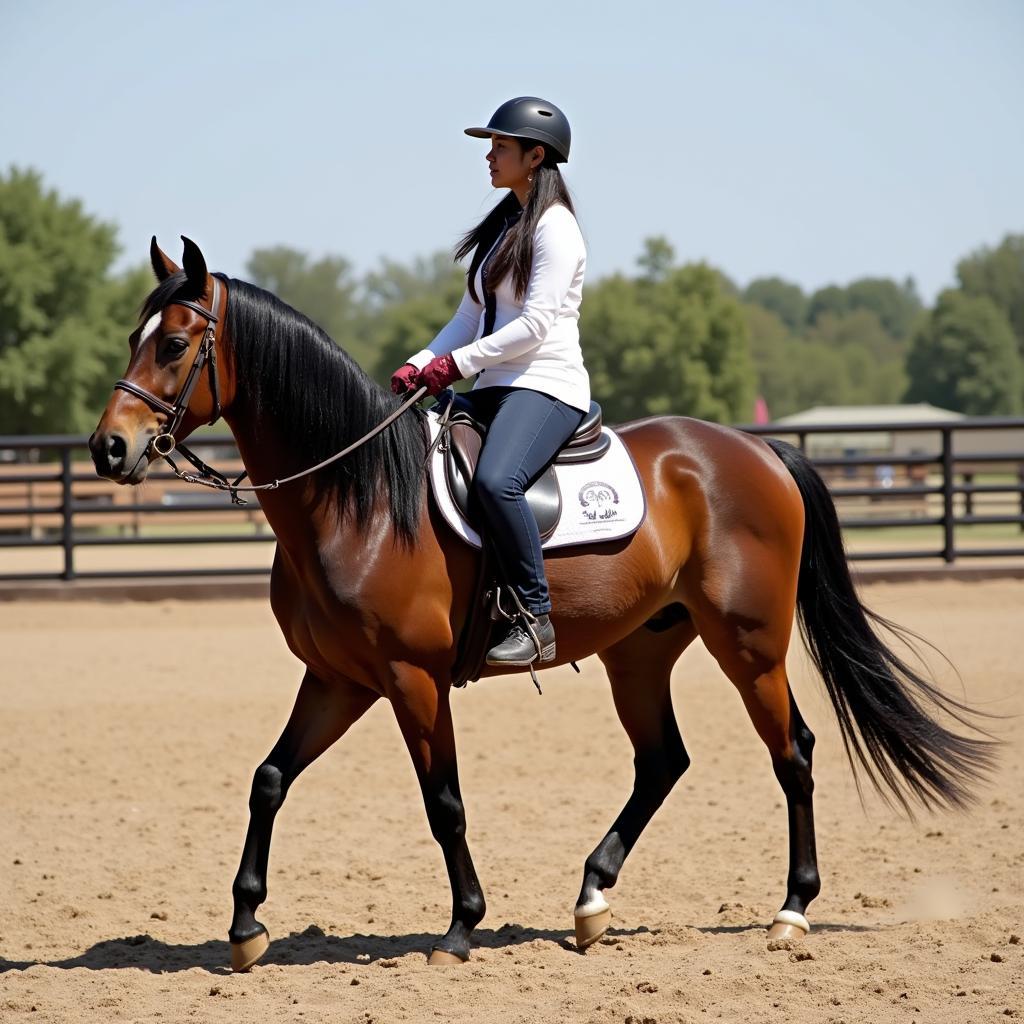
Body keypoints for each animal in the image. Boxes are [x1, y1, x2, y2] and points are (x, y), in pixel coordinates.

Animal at [90, 235, 991, 970]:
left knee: (792, 753)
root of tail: (756, 450)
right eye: (136, 337)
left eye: (175, 343)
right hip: (641, 650)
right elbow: (269, 778)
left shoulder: (412, 679)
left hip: (750, 645)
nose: (109, 448)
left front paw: (461, 925)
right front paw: (246, 926)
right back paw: (592, 900)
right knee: (663, 760)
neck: (361, 502)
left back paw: (791, 911)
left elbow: (444, 802)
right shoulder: (340, 678)